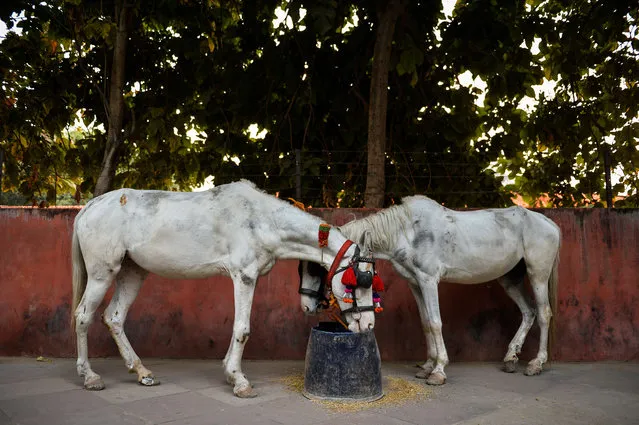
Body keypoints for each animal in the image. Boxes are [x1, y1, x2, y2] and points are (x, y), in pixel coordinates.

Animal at [72, 180, 378, 398]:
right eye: (358, 280)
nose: (368, 324)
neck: (263, 220)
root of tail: (90, 207)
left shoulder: (245, 278)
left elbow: (237, 328)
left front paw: (231, 374)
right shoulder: (244, 276)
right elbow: (242, 329)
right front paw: (240, 382)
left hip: (133, 272)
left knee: (114, 317)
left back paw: (142, 371)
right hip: (101, 274)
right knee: (83, 317)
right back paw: (90, 377)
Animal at [300, 195, 560, 384]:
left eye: (316, 269)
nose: (308, 306)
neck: (407, 233)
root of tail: (551, 224)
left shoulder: (428, 281)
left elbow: (435, 323)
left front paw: (438, 371)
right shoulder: (415, 283)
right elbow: (425, 323)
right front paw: (427, 366)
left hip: (538, 273)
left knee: (544, 313)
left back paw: (536, 363)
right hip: (510, 279)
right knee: (528, 312)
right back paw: (510, 358)